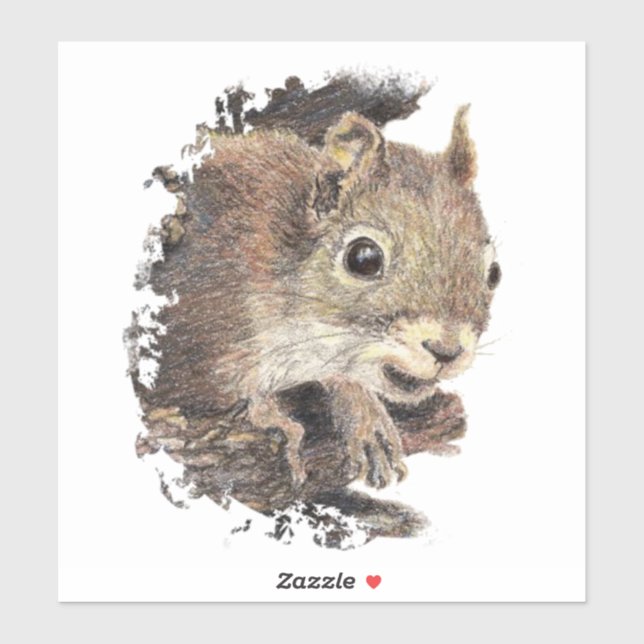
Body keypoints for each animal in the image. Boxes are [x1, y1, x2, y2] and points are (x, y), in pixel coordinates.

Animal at [130, 73, 501, 508]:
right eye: (363, 258)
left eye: (494, 273)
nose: (446, 350)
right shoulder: (200, 325)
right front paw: (270, 415)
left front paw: (364, 414)